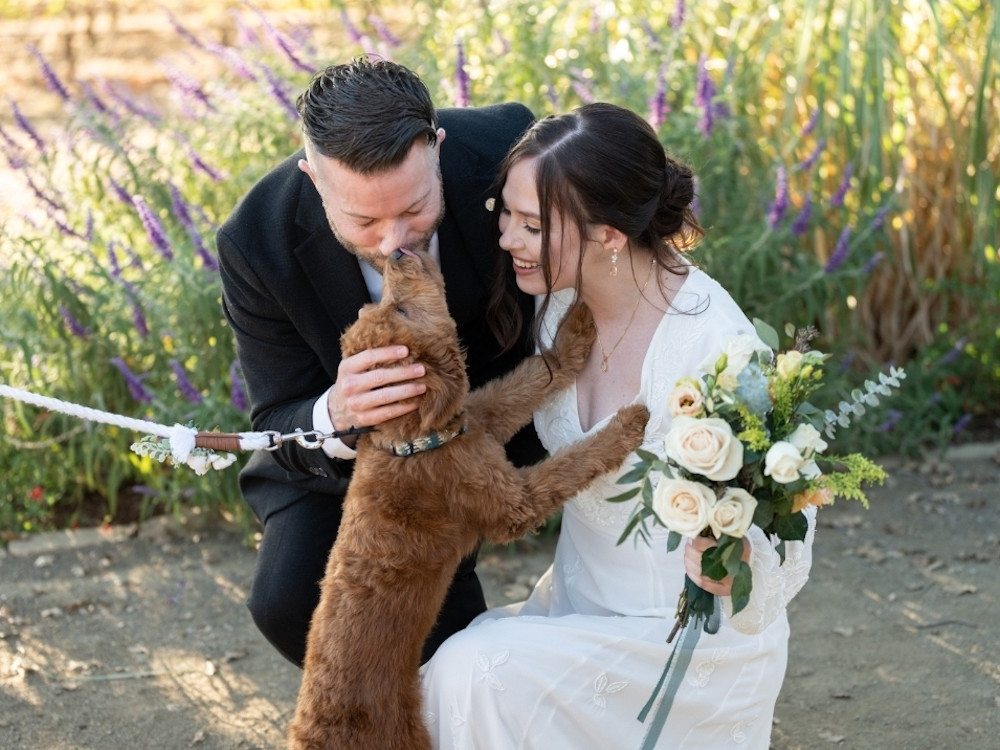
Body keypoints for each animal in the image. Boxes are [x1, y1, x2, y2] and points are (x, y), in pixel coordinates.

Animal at [290, 248, 648, 750]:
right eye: (401, 310)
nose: (397, 253)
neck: (415, 441)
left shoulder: (480, 417)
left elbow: (529, 379)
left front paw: (575, 328)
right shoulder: (511, 501)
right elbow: (570, 464)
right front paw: (628, 423)